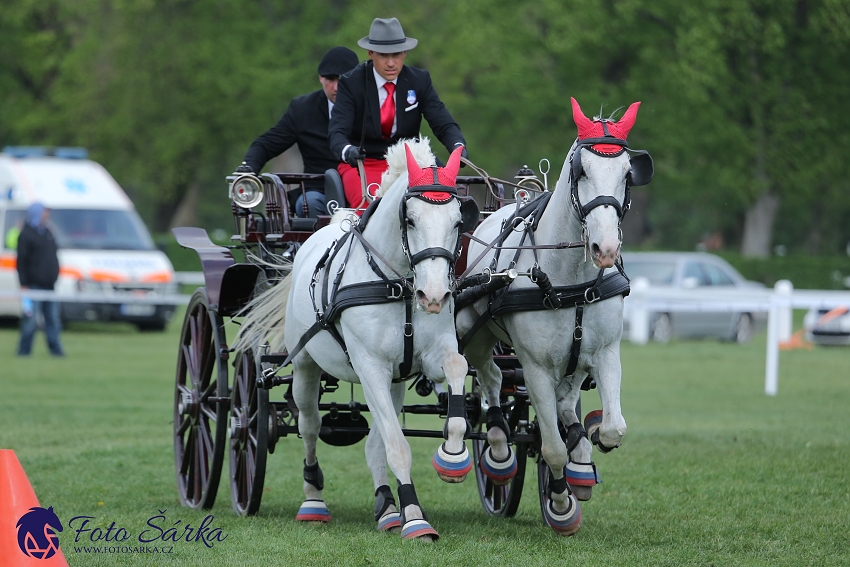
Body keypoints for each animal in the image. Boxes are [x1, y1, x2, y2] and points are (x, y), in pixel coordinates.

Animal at [235, 138, 480, 540]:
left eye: (458, 222)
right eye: (410, 219)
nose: (433, 296)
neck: (398, 284)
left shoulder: (428, 357)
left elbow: (456, 368)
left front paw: (453, 456)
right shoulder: (369, 366)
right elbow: (397, 446)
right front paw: (415, 517)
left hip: (394, 381)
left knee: (374, 441)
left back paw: (387, 508)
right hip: (305, 367)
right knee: (309, 425)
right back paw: (313, 499)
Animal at [458, 98, 648, 536]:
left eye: (626, 173)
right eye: (582, 171)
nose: (605, 248)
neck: (569, 280)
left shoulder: (605, 353)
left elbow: (612, 427)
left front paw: (588, 446)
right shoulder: (535, 368)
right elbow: (552, 448)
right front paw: (561, 504)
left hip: (574, 359)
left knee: (565, 399)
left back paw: (581, 443)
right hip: (474, 333)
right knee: (490, 380)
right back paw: (497, 449)